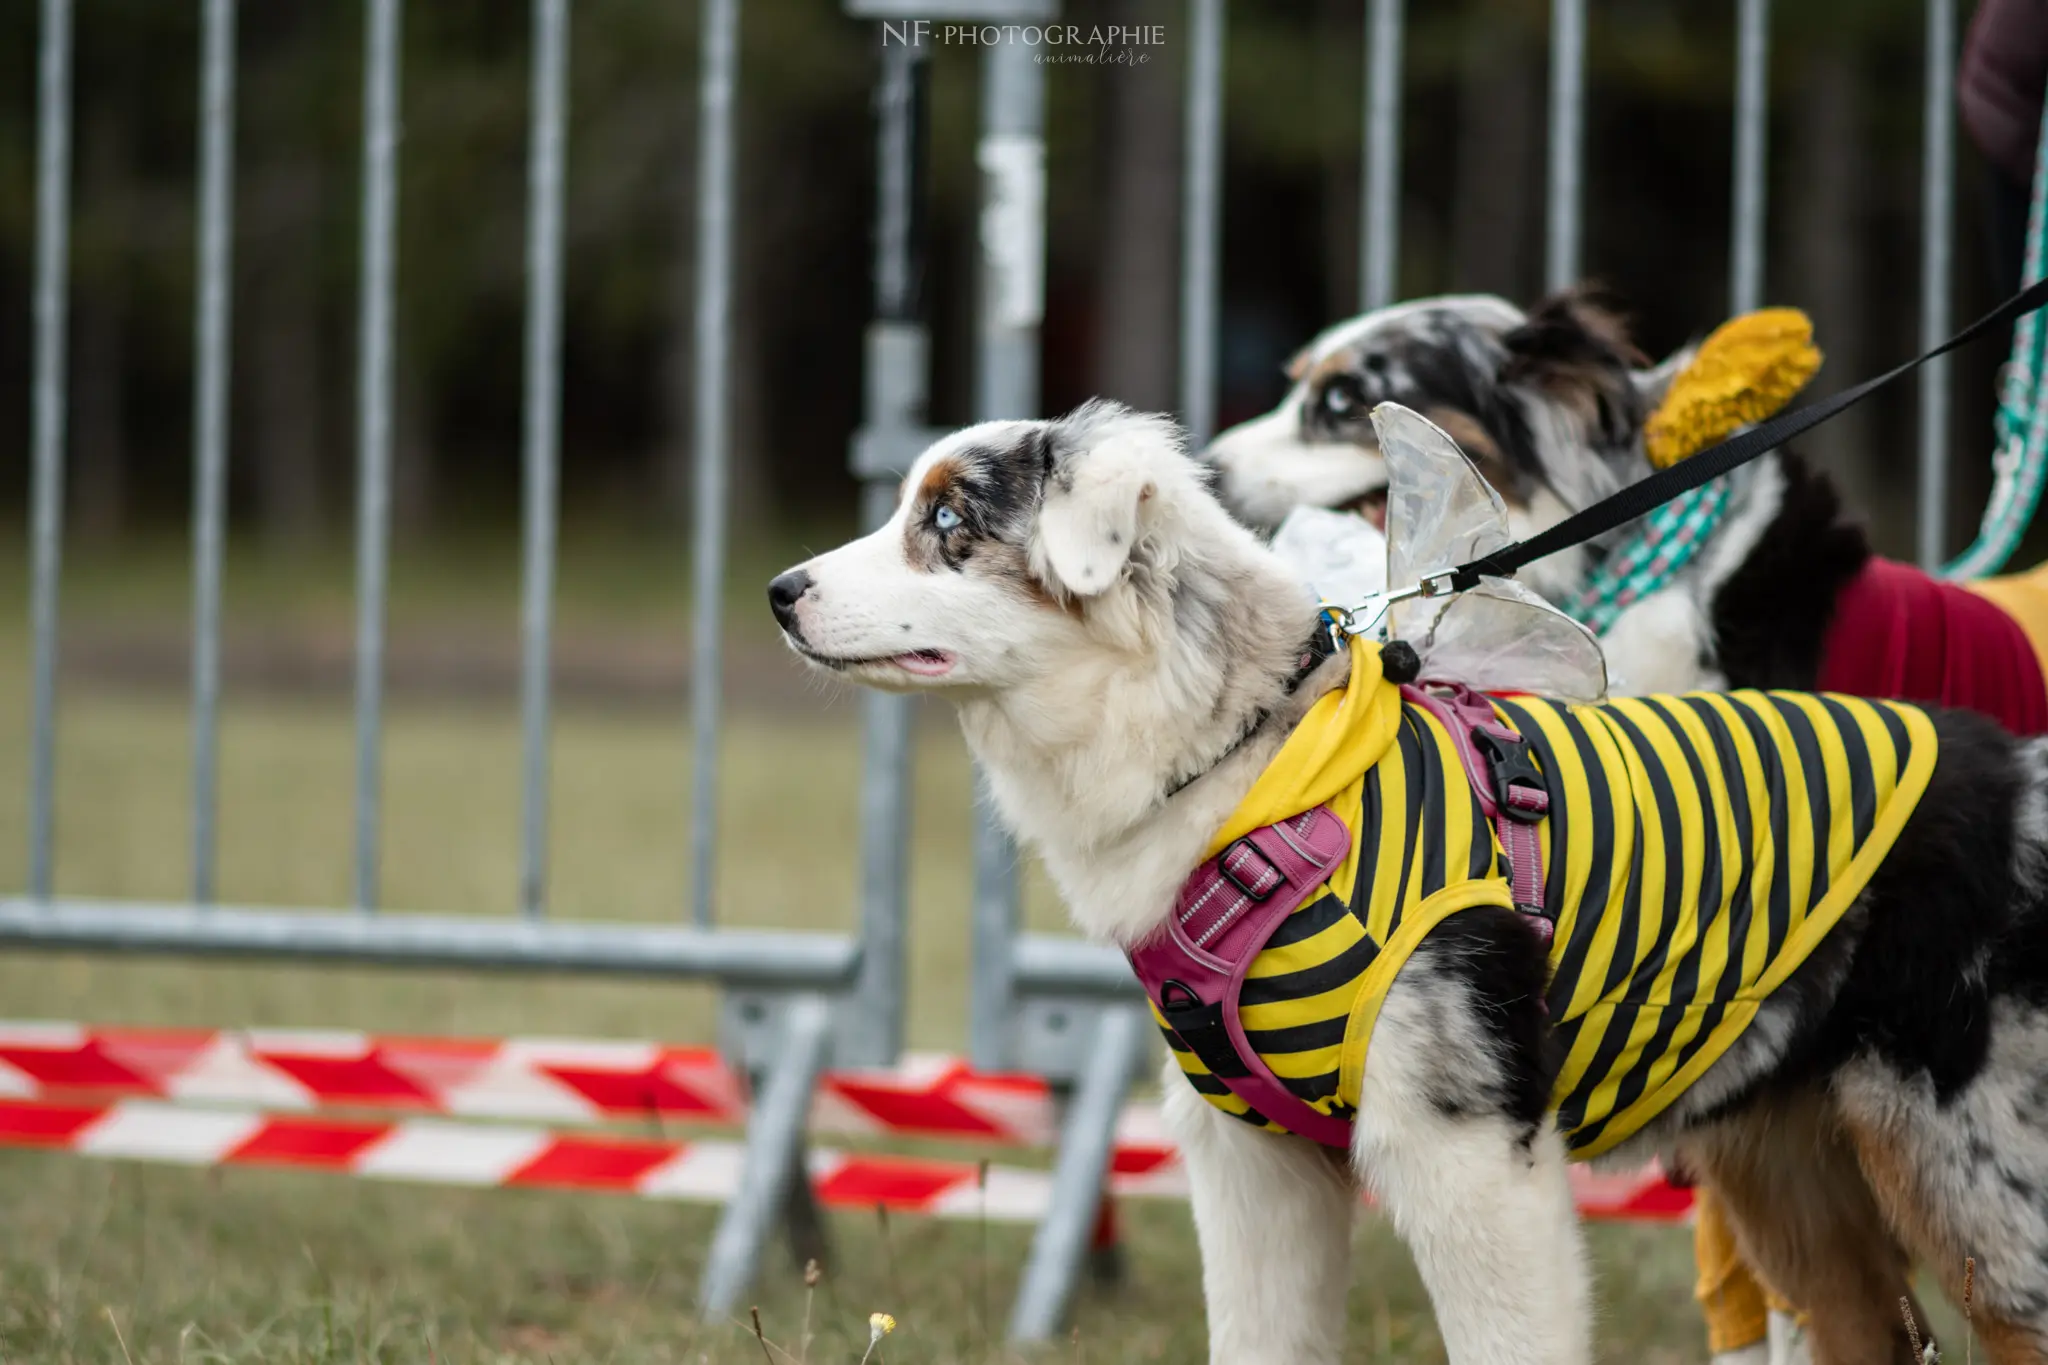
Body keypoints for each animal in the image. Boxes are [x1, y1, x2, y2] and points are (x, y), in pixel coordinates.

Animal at [770, 403, 2048, 1365]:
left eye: (946, 522)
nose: (780, 592)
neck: (1251, 762)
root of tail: (2020, 778)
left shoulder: (1464, 1150)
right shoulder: (1250, 1162)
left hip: (1978, 1187)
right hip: (1791, 1171)